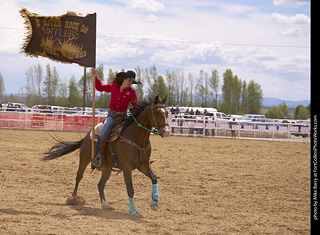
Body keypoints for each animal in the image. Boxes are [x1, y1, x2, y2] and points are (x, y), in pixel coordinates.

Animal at [44, 95, 172, 215]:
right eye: (156, 112)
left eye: (167, 113)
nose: (166, 131)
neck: (136, 136)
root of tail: (86, 137)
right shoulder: (126, 166)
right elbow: (130, 188)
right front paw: (133, 210)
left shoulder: (143, 165)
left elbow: (154, 178)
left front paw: (155, 203)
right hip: (84, 158)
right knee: (79, 176)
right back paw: (74, 198)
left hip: (107, 167)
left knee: (100, 184)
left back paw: (105, 204)